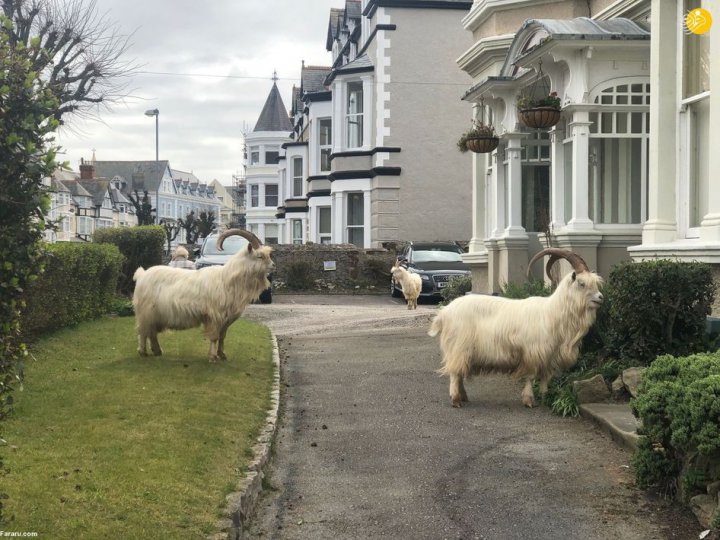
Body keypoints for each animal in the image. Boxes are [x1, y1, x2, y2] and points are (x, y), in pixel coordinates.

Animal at [131, 229, 272, 362]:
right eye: (259, 256)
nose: (273, 266)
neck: (227, 280)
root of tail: (142, 274)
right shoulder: (214, 316)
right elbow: (214, 337)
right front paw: (212, 357)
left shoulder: (226, 319)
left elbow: (222, 337)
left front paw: (222, 355)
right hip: (146, 312)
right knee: (143, 332)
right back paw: (143, 352)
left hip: (155, 315)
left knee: (151, 332)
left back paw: (157, 351)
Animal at [430, 251, 604, 408]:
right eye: (581, 283)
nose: (601, 297)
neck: (552, 312)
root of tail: (445, 312)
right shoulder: (532, 352)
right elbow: (531, 376)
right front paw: (529, 400)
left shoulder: (549, 355)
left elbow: (545, 377)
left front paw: (544, 396)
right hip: (459, 346)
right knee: (454, 373)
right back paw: (456, 400)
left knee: (459, 371)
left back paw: (463, 396)